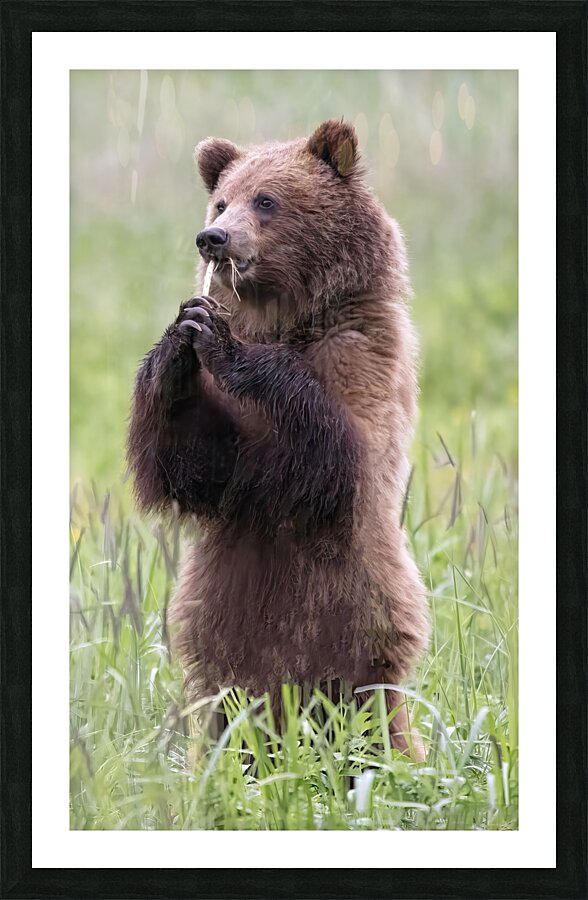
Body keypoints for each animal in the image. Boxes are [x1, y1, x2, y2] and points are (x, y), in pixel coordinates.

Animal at [127, 119, 430, 758]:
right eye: (222, 200)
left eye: (266, 200)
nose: (212, 238)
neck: (288, 319)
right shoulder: (229, 438)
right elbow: (198, 463)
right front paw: (178, 340)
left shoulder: (363, 354)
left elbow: (340, 455)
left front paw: (223, 341)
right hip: (221, 637)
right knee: (230, 716)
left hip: (362, 625)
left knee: (372, 717)